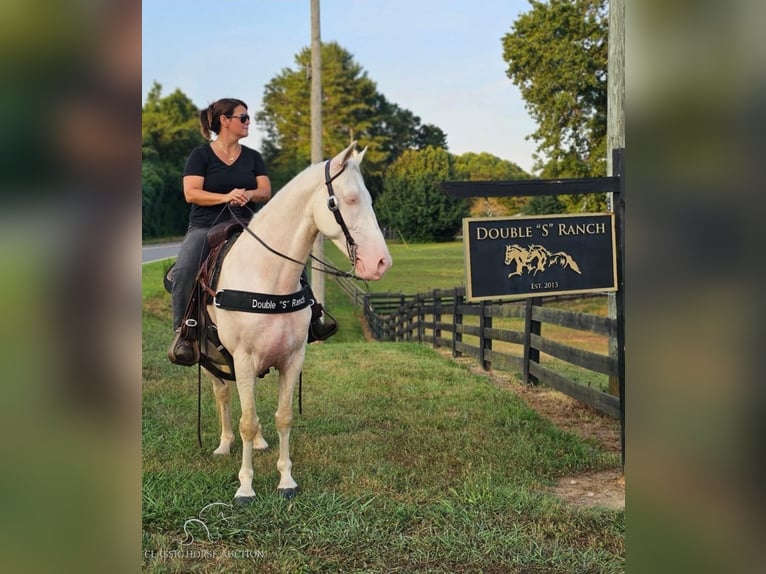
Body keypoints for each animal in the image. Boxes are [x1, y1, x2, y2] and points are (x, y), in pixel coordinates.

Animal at [206, 142, 392, 502]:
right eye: (348, 199)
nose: (381, 262)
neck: (267, 275)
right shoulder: (243, 358)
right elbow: (246, 421)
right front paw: (246, 486)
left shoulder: (292, 359)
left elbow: (283, 417)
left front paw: (286, 480)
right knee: (222, 394)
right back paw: (223, 445)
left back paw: (259, 443)